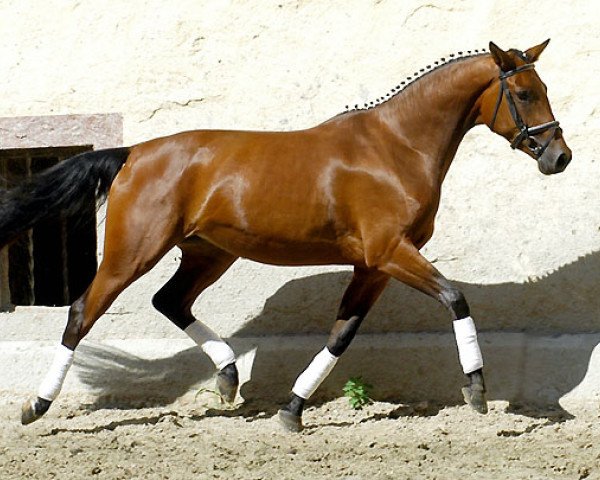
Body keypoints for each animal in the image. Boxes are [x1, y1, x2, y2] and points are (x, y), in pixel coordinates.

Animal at [1, 40, 572, 432]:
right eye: (524, 93)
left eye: (545, 90)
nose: (559, 157)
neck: (396, 146)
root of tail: (134, 153)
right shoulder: (392, 252)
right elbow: (455, 298)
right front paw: (477, 390)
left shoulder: (372, 265)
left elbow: (341, 334)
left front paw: (292, 411)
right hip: (132, 253)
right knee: (82, 312)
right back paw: (37, 405)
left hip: (209, 254)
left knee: (170, 301)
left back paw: (229, 378)